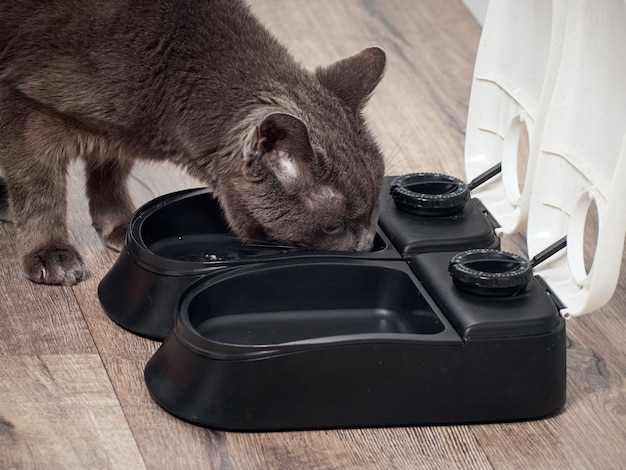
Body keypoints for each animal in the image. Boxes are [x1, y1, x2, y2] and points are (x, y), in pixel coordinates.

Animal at [0, 0, 386, 284]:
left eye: (373, 212)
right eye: (333, 226)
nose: (368, 247)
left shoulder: (115, 138)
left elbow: (110, 171)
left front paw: (121, 224)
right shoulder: (24, 107)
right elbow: (40, 190)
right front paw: (50, 253)